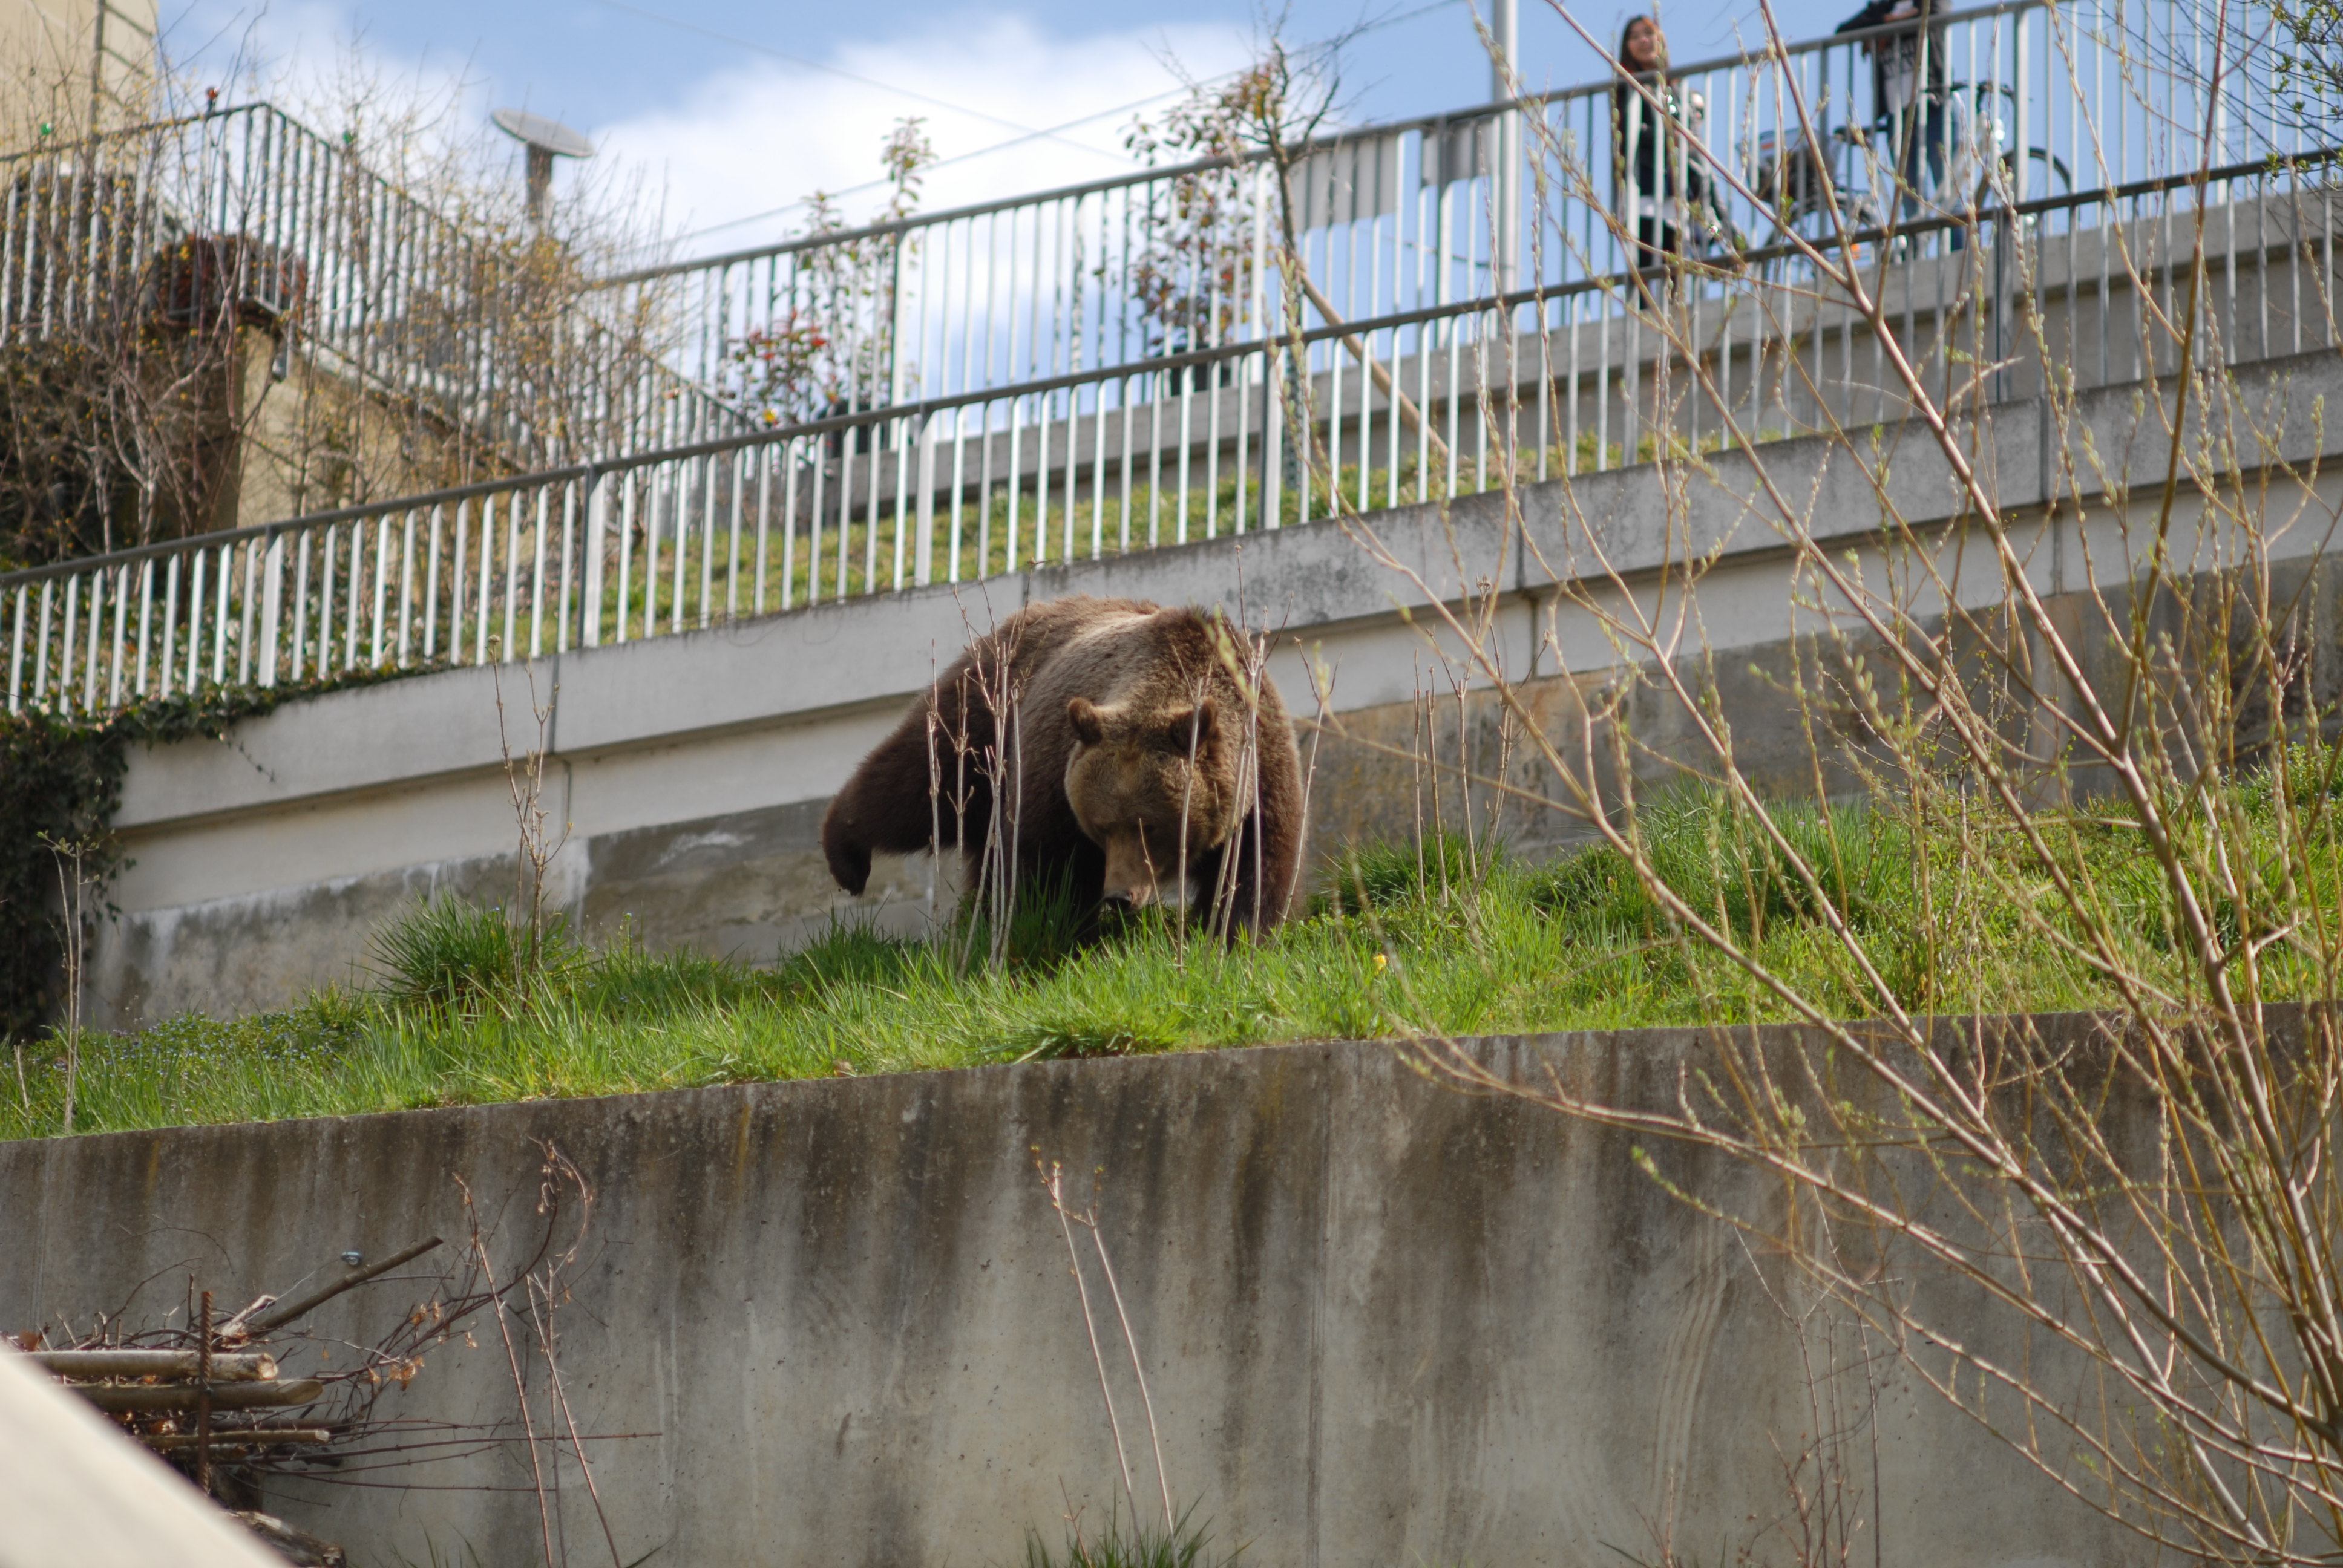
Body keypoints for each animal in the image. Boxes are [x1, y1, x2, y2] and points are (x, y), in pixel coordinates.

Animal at [821, 596, 1305, 933]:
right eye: (1104, 826)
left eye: (1151, 826)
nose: (1120, 896)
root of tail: (1027, 613)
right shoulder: (1052, 778)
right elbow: (1040, 876)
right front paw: (1047, 930)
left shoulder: (1261, 773)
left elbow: (1256, 873)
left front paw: (1233, 934)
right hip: (984, 717)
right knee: (919, 782)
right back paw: (848, 856)